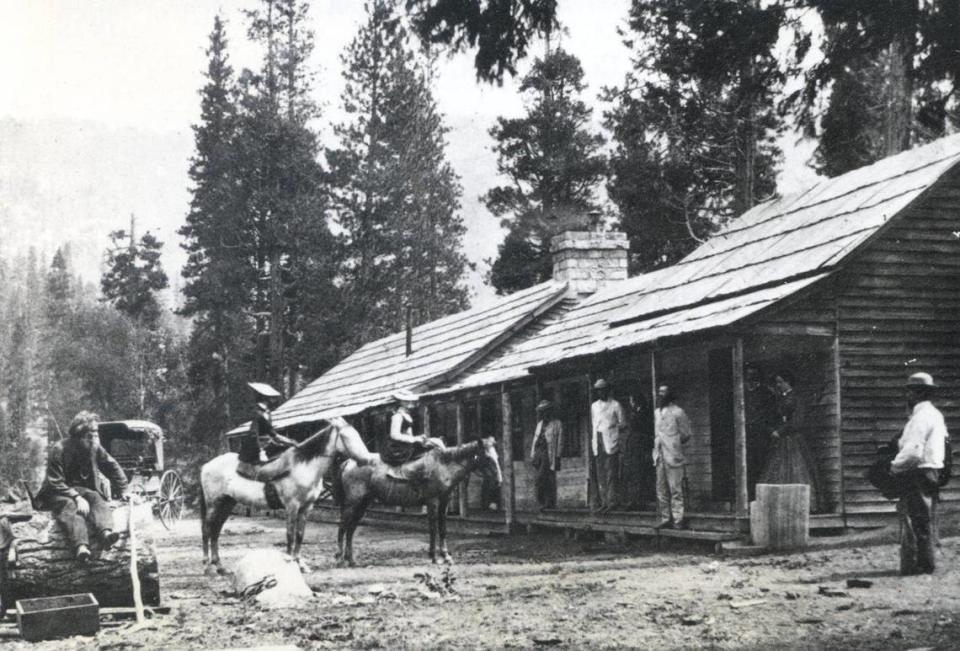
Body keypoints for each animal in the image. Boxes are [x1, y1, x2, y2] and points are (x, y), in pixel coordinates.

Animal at [199, 418, 372, 576]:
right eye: (345, 436)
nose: (367, 460)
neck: (304, 467)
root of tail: (206, 466)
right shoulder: (292, 506)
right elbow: (290, 535)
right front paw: (290, 563)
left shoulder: (306, 508)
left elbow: (300, 535)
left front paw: (301, 564)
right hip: (214, 504)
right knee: (207, 530)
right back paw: (207, 567)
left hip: (227, 503)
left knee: (216, 530)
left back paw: (220, 566)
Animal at [334, 440, 502, 568]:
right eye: (487, 458)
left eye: (497, 456)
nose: (499, 482)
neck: (444, 467)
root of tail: (349, 462)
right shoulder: (433, 502)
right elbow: (433, 529)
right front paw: (434, 557)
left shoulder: (444, 503)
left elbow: (443, 529)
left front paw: (446, 556)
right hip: (352, 503)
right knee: (342, 527)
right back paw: (340, 559)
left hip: (362, 504)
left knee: (350, 529)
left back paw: (351, 560)